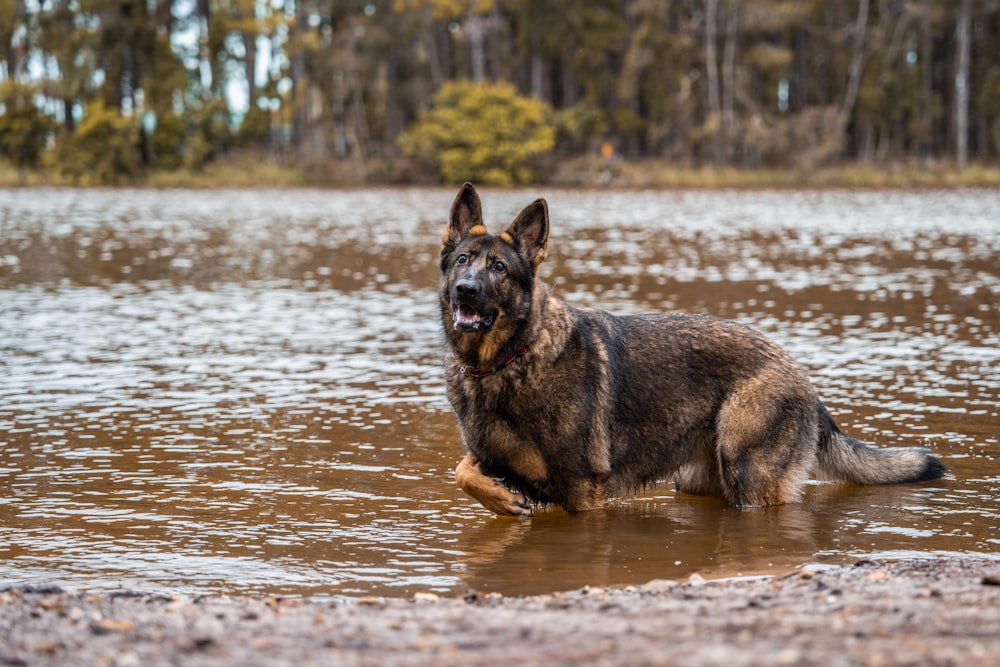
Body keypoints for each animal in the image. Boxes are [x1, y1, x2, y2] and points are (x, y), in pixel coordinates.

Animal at [440, 183, 944, 516]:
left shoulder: (584, 491)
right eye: (463, 261)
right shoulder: (491, 456)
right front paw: (500, 497)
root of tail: (798, 373)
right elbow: (463, 470)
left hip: (749, 479)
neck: (508, 360)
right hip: (696, 482)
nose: (465, 290)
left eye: (500, 268)